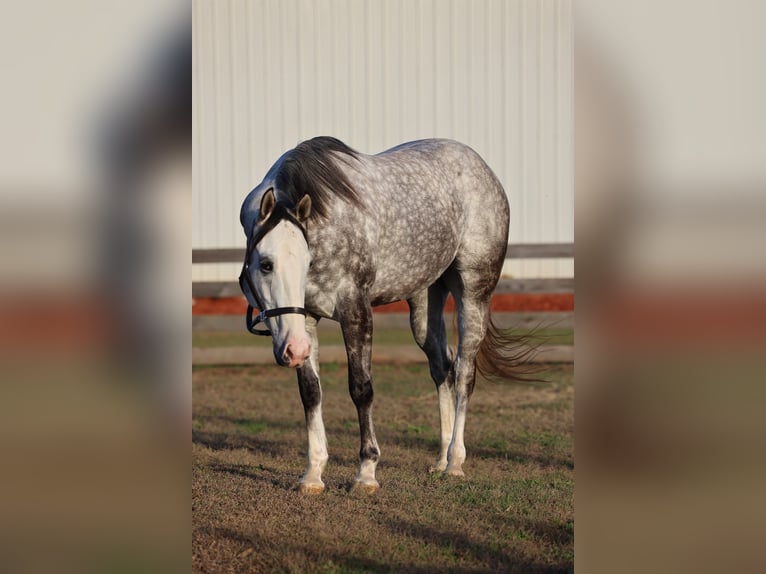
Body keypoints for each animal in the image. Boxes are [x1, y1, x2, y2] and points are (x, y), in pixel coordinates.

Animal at [239, 136, 530, 494]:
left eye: (306, 261)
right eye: (266, 264)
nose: (293, 350)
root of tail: (483, 169)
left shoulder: (355, 311)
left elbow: (361, 388)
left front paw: (366, 472)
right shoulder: (304, 319)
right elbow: (310, 392)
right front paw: (313, 474)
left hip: (474, 293)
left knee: (463, 372)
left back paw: (456, 463)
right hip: (425, 304)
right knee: (442, 368)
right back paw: (441, 459)